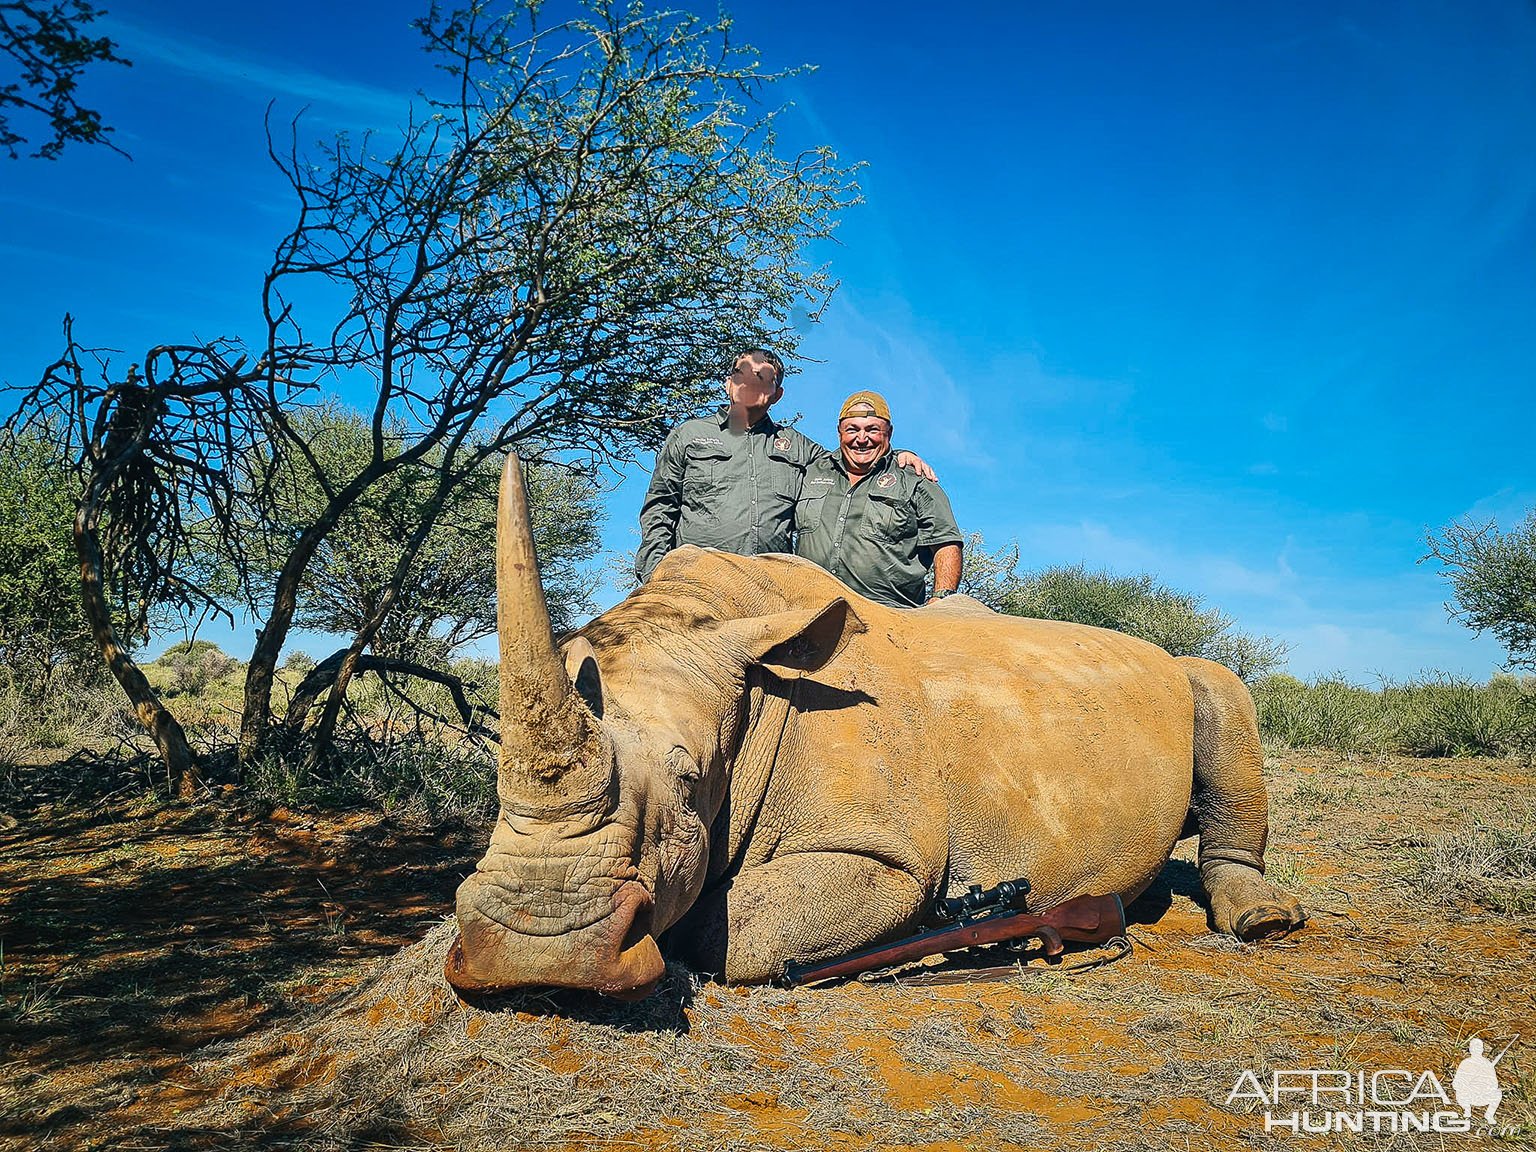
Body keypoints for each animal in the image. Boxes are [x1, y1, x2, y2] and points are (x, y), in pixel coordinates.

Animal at [448, 454, 1308, 995]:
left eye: (691, 784)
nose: (538, 953)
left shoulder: (882, 852)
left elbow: (741, 927)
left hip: (1188, 675)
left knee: (1221, 689)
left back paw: (1265, 922)